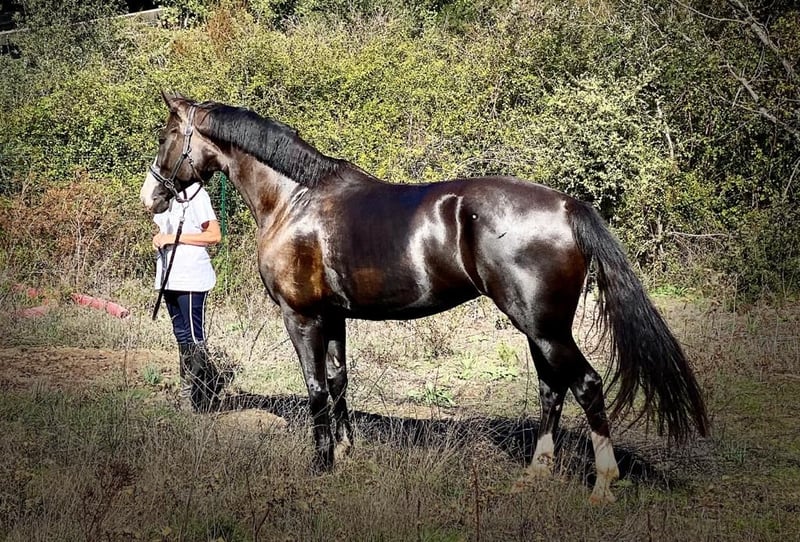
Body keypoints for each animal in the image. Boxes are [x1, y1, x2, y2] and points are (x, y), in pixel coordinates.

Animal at [140, 91, 709, 503]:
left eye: (166, 135)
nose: (152, 197)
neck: (295, 199)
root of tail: (568, 206)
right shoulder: (334, 316)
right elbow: (340, 382)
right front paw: (347, 454)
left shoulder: (301, 317)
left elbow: (317, 389)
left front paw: (321, 465)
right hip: (539, 328)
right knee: (552, 390)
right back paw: (536, 474)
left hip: (545, 328)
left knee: (586, 385)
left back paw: (603, 485)